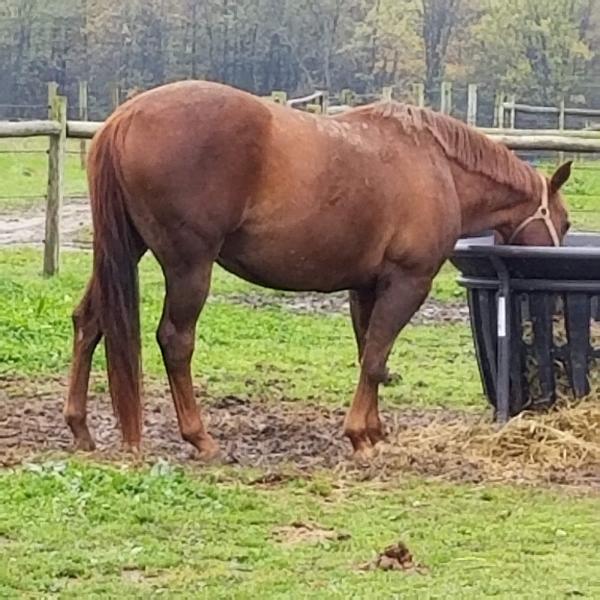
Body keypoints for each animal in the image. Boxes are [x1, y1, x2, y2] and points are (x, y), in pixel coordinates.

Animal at [64, 79, 572, 460]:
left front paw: (373, 430)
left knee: (89, 322)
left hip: (124, 251)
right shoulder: (408, 282)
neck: (435, 165)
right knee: (175, 341)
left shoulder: (366, 287)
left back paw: (80, 428)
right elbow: (376, 355)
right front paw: (360, 436)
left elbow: (369, 354)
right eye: (564, 223)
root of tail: (124, 119)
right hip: (189, 266)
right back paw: (200, 438)